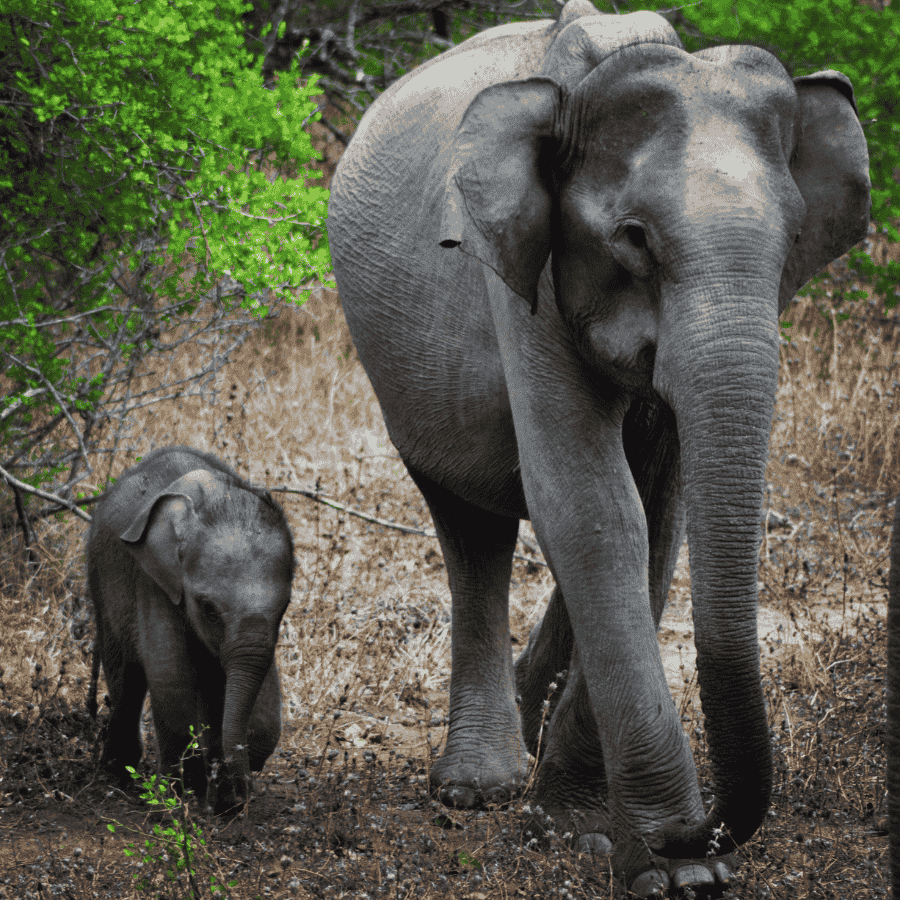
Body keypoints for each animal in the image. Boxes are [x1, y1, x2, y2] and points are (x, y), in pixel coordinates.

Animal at [87, 445, 295, 813]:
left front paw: (219, 791)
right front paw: (177, 793)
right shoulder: (155, 582)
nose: (242, 797)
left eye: (285, 607)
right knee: (126, 675)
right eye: (208, 609)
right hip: (101, 579)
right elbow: (172, 676)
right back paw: (119, 775)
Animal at [328, 1, 871, 895]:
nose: (701, 830)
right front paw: (668, 868)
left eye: (794, 237)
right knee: (469, 524)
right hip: (398, 373)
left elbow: (658, 511)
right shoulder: (524, 279)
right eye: (635, 237)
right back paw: (480, 787)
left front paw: (585, 827)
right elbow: (592, 507)